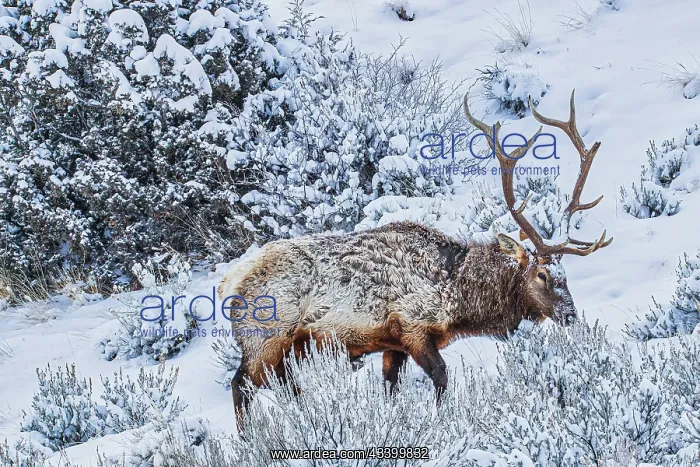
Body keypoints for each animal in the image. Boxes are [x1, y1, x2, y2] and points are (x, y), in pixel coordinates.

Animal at [218, 89, 613, 433]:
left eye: (566, 275)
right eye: (542, 274)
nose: (570, 314)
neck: (458, 295)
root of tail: (228, 283)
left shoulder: (392, 345)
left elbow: (391, 389)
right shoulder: (413, 328)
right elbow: (441, 377)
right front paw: (439, 423)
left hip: (284, 348)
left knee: (272, 386)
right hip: (265, 339)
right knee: (243, 385)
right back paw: (252, 441)